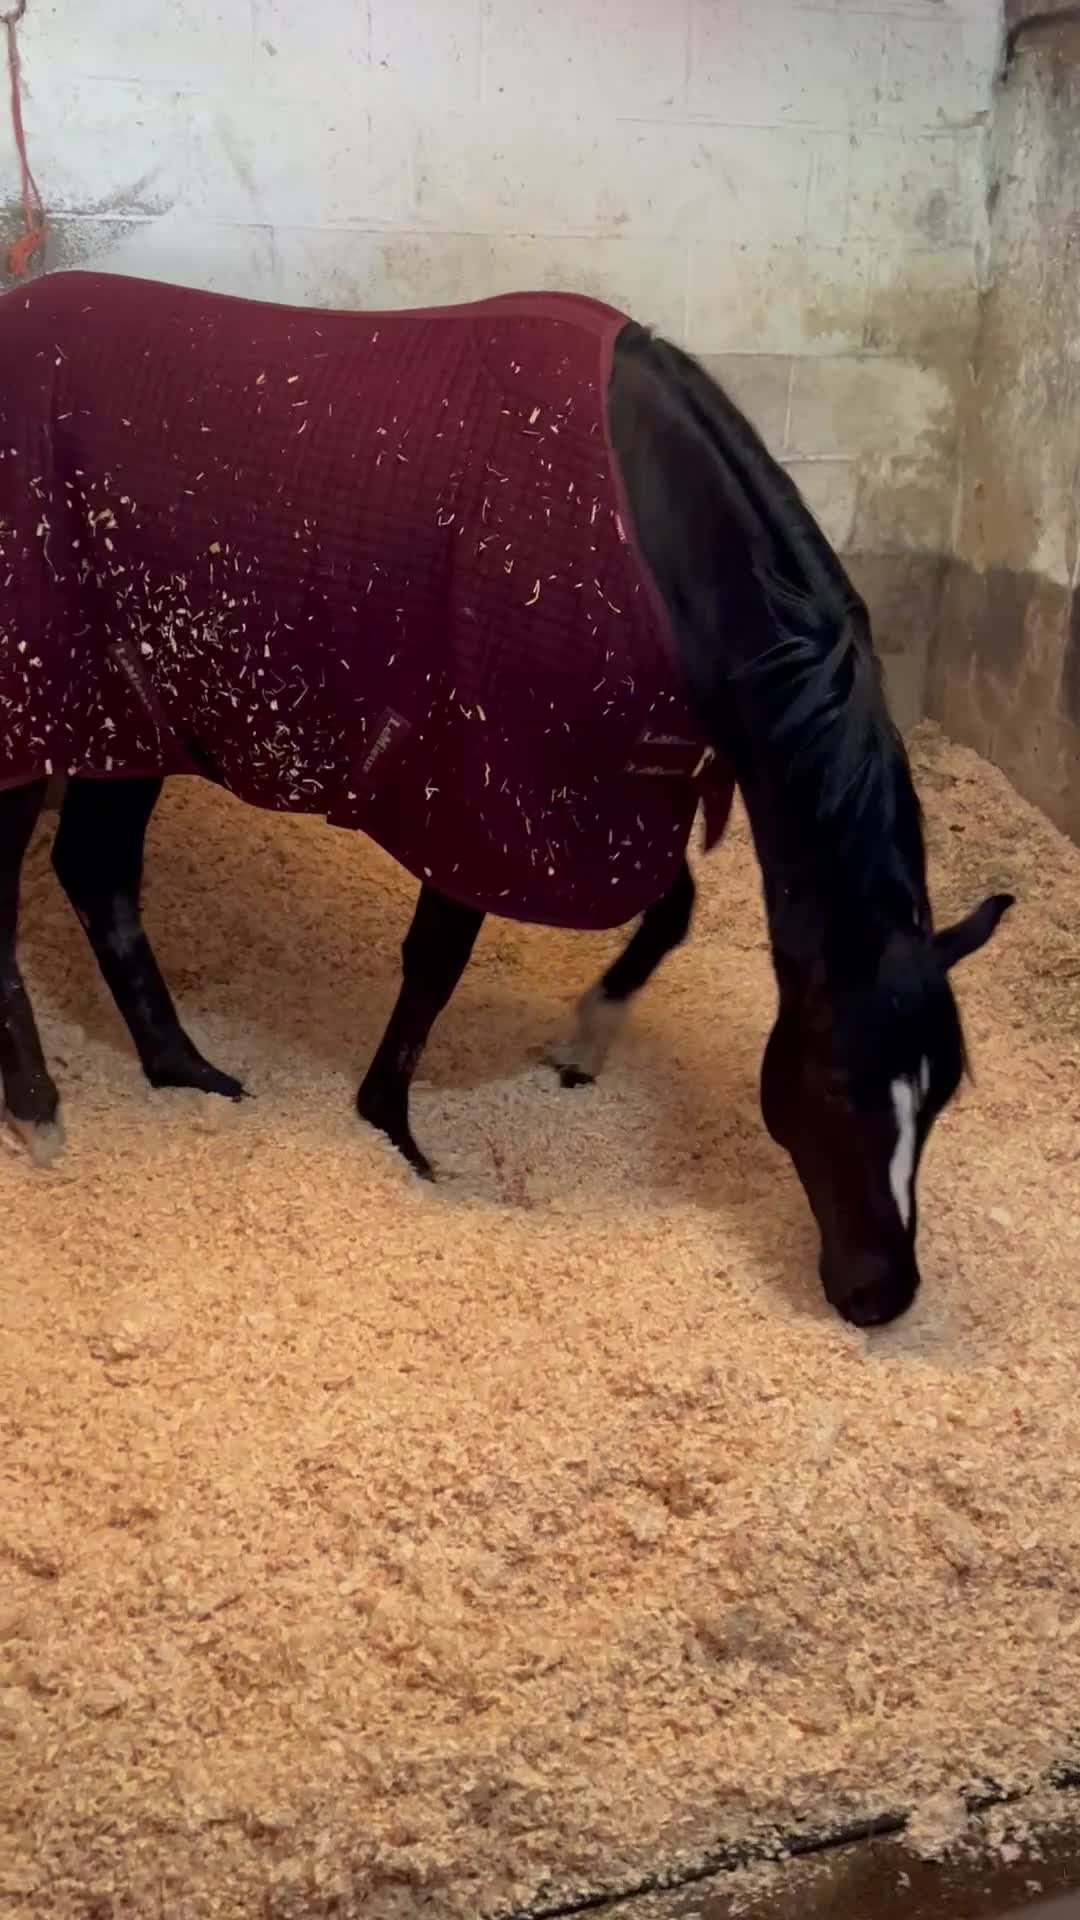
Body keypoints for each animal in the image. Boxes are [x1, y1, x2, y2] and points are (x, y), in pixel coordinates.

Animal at [0, 271, 1012, 1327]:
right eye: (838, 1083)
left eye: (942, 1095)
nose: (883, 1292)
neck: (651, 540)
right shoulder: (486, 797)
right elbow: (436, 963)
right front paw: (394, 1132)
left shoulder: (599, 798)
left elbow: (672, 912)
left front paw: (583, 1043)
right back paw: (40, 1112)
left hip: (126, 726)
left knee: (98, 874)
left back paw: (184, 1071)